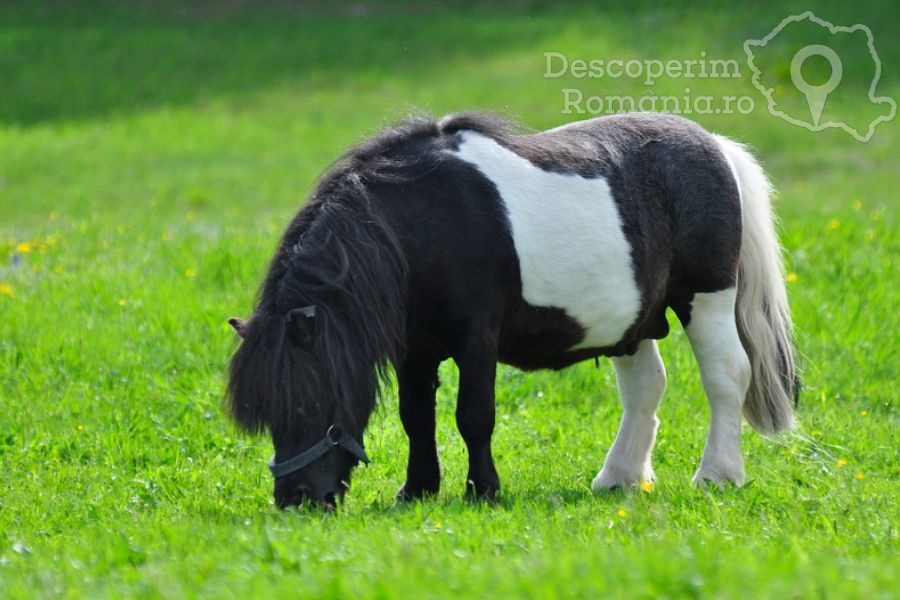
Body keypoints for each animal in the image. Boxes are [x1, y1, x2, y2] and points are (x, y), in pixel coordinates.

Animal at [229, 111, 800, 506]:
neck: (417, 227)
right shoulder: (417, 350)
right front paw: (417, 490)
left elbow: (473, 415)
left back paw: (718, 475)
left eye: (307, 404)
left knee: (727, 374)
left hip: (706, 297)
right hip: (633, 323)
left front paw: (483, 489)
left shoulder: (475, 341)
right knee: (645, 390)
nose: (297, 500)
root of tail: (717, 146)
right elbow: (417, 417)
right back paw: (618, 478)